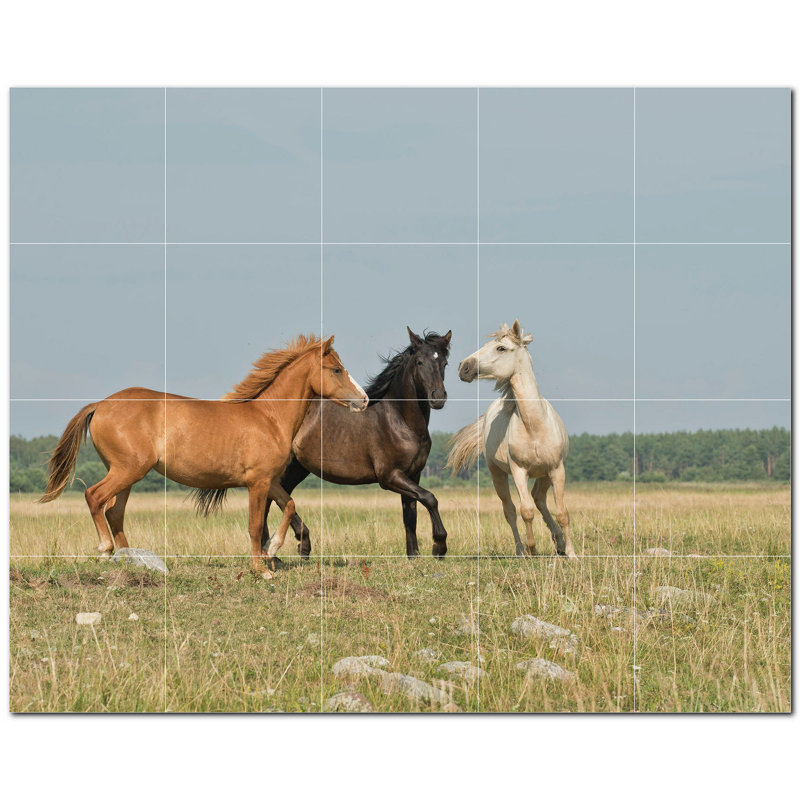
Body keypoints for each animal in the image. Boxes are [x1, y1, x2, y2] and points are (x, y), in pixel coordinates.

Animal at [39, 335, 368, 572]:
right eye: (337, 369)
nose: (364, 400)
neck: (269, 418)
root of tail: (100, 405)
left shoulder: (269, 481)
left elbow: (289, 506)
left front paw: (273, 549)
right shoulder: (257, 483)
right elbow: (255, 525)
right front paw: (261, 569)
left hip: (127, 475)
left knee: (114, 512)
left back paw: (132, 560)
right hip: (127, 470)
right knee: (94, 497)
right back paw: (105, 551)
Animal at [194, 327, 452, 559]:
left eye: (444, 363)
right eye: (419, 361)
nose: (438, 398)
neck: (399, 421)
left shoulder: (412, 474)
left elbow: (411, 514)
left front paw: (414, 556)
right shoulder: (389, 476)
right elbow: (430, 498)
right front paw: (439, 547)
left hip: (296, 469)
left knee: (273, 500)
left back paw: (285, 550)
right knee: (270, 502)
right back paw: (288, 549)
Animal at [447, 320, 576, 559]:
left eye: (501, 348)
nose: (463, 367)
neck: (534, 426)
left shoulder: (557, 469)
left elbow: (562, 512)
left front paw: (572, 553)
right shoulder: (519, 471)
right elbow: (526, 511)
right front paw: (532, 550)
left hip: (545, 474)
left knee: (539, 499)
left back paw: (559, 543)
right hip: (497, 474)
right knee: (511, 510)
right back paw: (520, 550)